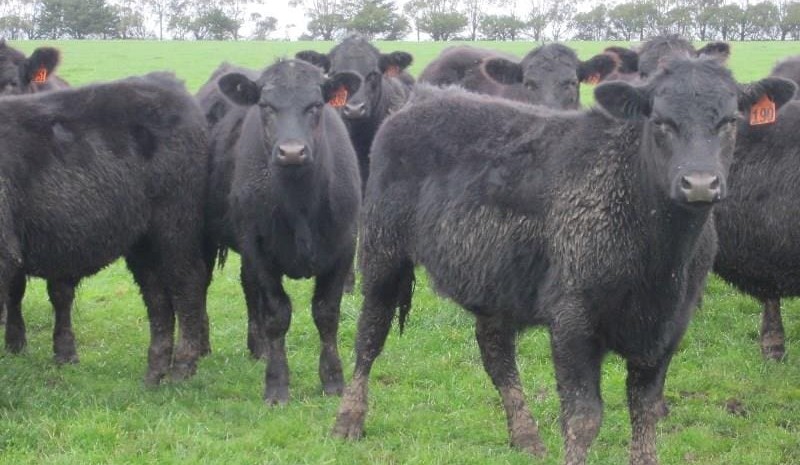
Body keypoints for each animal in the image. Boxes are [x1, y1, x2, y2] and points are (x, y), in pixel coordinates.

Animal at [0, 72, 213, 384]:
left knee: (187, 284)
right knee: (157, 295)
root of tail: (166, 82)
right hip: (143, 242)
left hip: (175, 226)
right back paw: (155, 372)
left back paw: (182, 369)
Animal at [203, 59, 362, 405]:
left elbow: (326, 314)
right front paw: (276, 384)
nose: (291, 152)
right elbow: (278, 315)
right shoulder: (260, 252)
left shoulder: (344, 248)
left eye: (315, 105)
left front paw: (333, 379)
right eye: (266, 106)